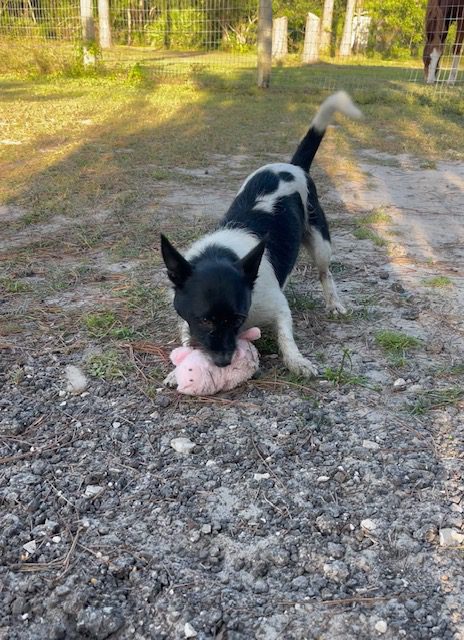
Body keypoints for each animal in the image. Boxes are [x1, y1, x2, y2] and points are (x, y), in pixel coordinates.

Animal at [161, 89, 360, 380]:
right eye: (204, 319)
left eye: (238, 319)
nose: (223, 362)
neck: (220, 253)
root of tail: (292, 166)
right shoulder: (186, 319)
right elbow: (187, 337)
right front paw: (179, 371)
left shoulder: (278, 307)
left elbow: (286, 338)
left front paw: (297, 361)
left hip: (320, 243)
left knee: (326, 273)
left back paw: (333, 302)